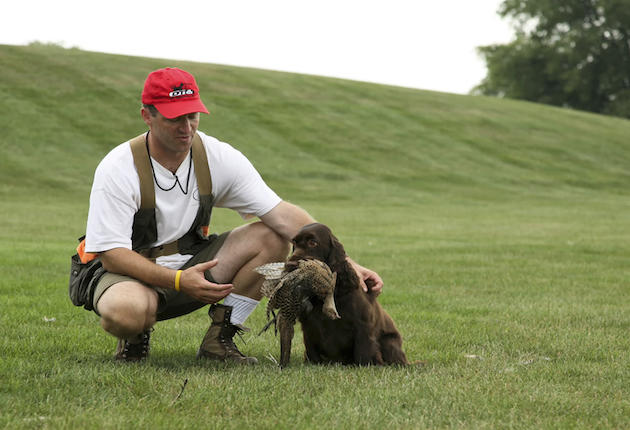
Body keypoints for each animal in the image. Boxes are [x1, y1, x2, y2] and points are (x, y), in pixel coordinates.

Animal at [288, 222, 412, 366]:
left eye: (313, 242)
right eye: (294, 243)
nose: (290, 264)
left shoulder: (363, 325)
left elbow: (363, 352)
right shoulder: (308, 325)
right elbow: (311, 350)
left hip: (389, 342)